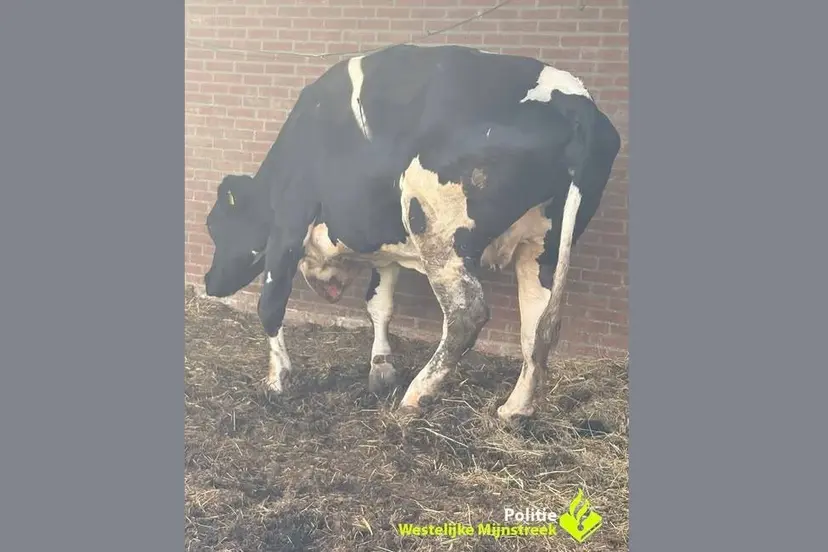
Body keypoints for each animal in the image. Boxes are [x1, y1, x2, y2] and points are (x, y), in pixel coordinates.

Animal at [202, 44, 621, 422]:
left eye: (216, 227)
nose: (208, 282)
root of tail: (575, 101)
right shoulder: (382, 246)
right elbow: (379, 304)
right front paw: (381, 370)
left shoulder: (288, 227)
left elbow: (270, 305)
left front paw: (277, 381)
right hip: (542, 246)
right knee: (537, 325)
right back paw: (515, 408)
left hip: (437, 227)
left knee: (467, 314)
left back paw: (417, 395)